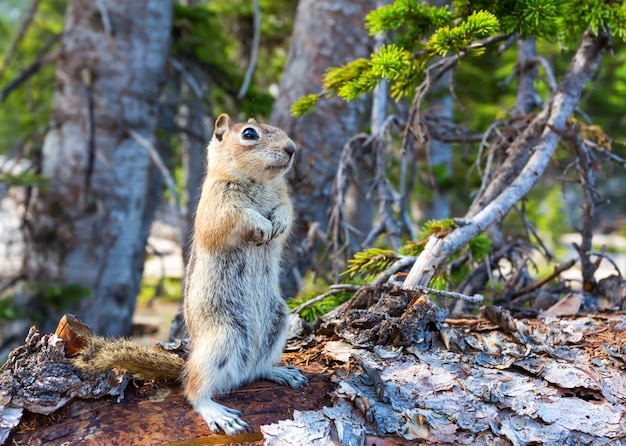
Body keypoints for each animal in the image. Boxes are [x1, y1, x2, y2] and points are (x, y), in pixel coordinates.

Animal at [74, 112, 306, 436]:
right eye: (249, 134)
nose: (291, 148)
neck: (259, 182)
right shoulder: (216, 208)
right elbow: (236, 217)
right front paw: (260, 223)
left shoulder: (284, 198)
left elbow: (287, 212)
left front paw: (279, 222)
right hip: (222, 337)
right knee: (193, 390)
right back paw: (217, 412)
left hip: (278, 322)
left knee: (256, 370)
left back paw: (280, 371)